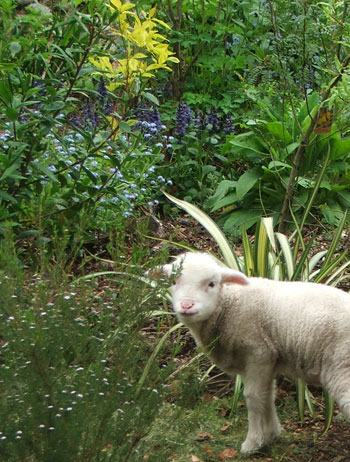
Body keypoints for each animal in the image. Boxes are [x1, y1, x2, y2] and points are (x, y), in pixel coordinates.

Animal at [161, 251, 350, 452]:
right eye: (173, 281)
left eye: (211, 283)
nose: (186, 305)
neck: (228, 305)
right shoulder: (264, 360)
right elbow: (267, 395)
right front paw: (271, 435)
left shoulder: (258, 352)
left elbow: (253, 397)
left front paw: (251, 443)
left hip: (341, 365)